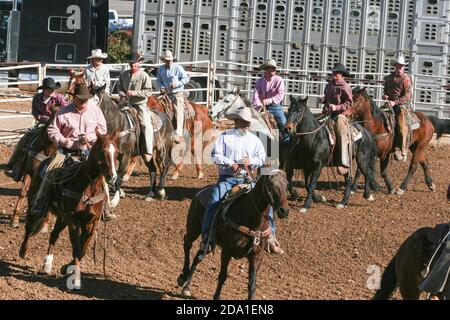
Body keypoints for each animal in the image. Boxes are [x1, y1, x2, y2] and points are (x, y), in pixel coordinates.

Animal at [19, 131, 119, 288]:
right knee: (29, 227)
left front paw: (67, 267)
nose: (112, 176)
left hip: (62, 217)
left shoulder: (92, 222)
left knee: (54, 235)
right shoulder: (73, 220)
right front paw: (75, 278)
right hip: (34, 204)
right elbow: (77, 247)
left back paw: (47, 264)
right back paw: (23, 251)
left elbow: (83, 248)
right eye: (102, 151)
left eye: (117, 153)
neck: (88, 188)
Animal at [176, 170, 288, 300]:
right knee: (187, 243)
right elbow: (223, 276)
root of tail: (202, 190)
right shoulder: (227, 251)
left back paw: (187, 287)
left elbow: (252, 284)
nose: (284, 211)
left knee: (198, 256)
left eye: (286, 184)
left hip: (208, 242)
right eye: (270, 184)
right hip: (194, 228)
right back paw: (183, 278)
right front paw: (217, 297)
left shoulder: (257, 256)